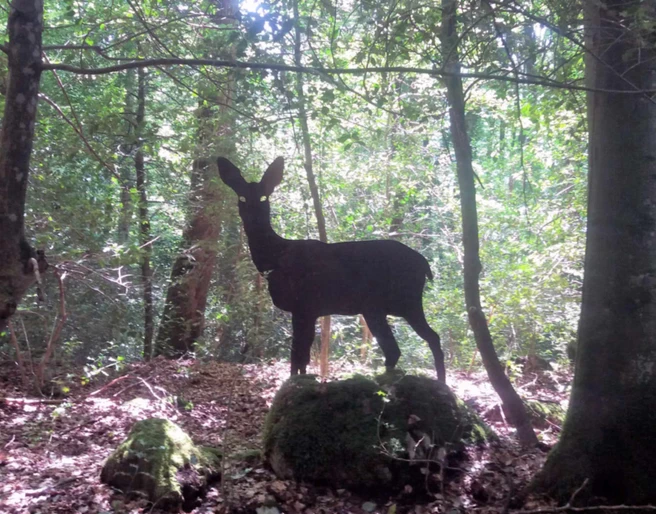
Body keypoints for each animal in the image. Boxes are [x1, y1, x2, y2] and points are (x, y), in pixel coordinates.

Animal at [218, 156, 446, 382]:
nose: (253, 216)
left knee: (418, 342)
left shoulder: (303, 306)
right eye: (242, 197)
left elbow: (297, 355)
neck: (275, 258)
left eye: (264, 197)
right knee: (407, 346)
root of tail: (424, 264)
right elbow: (302, 357)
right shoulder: (308, 310)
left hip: (401, 302)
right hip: (382, 307)